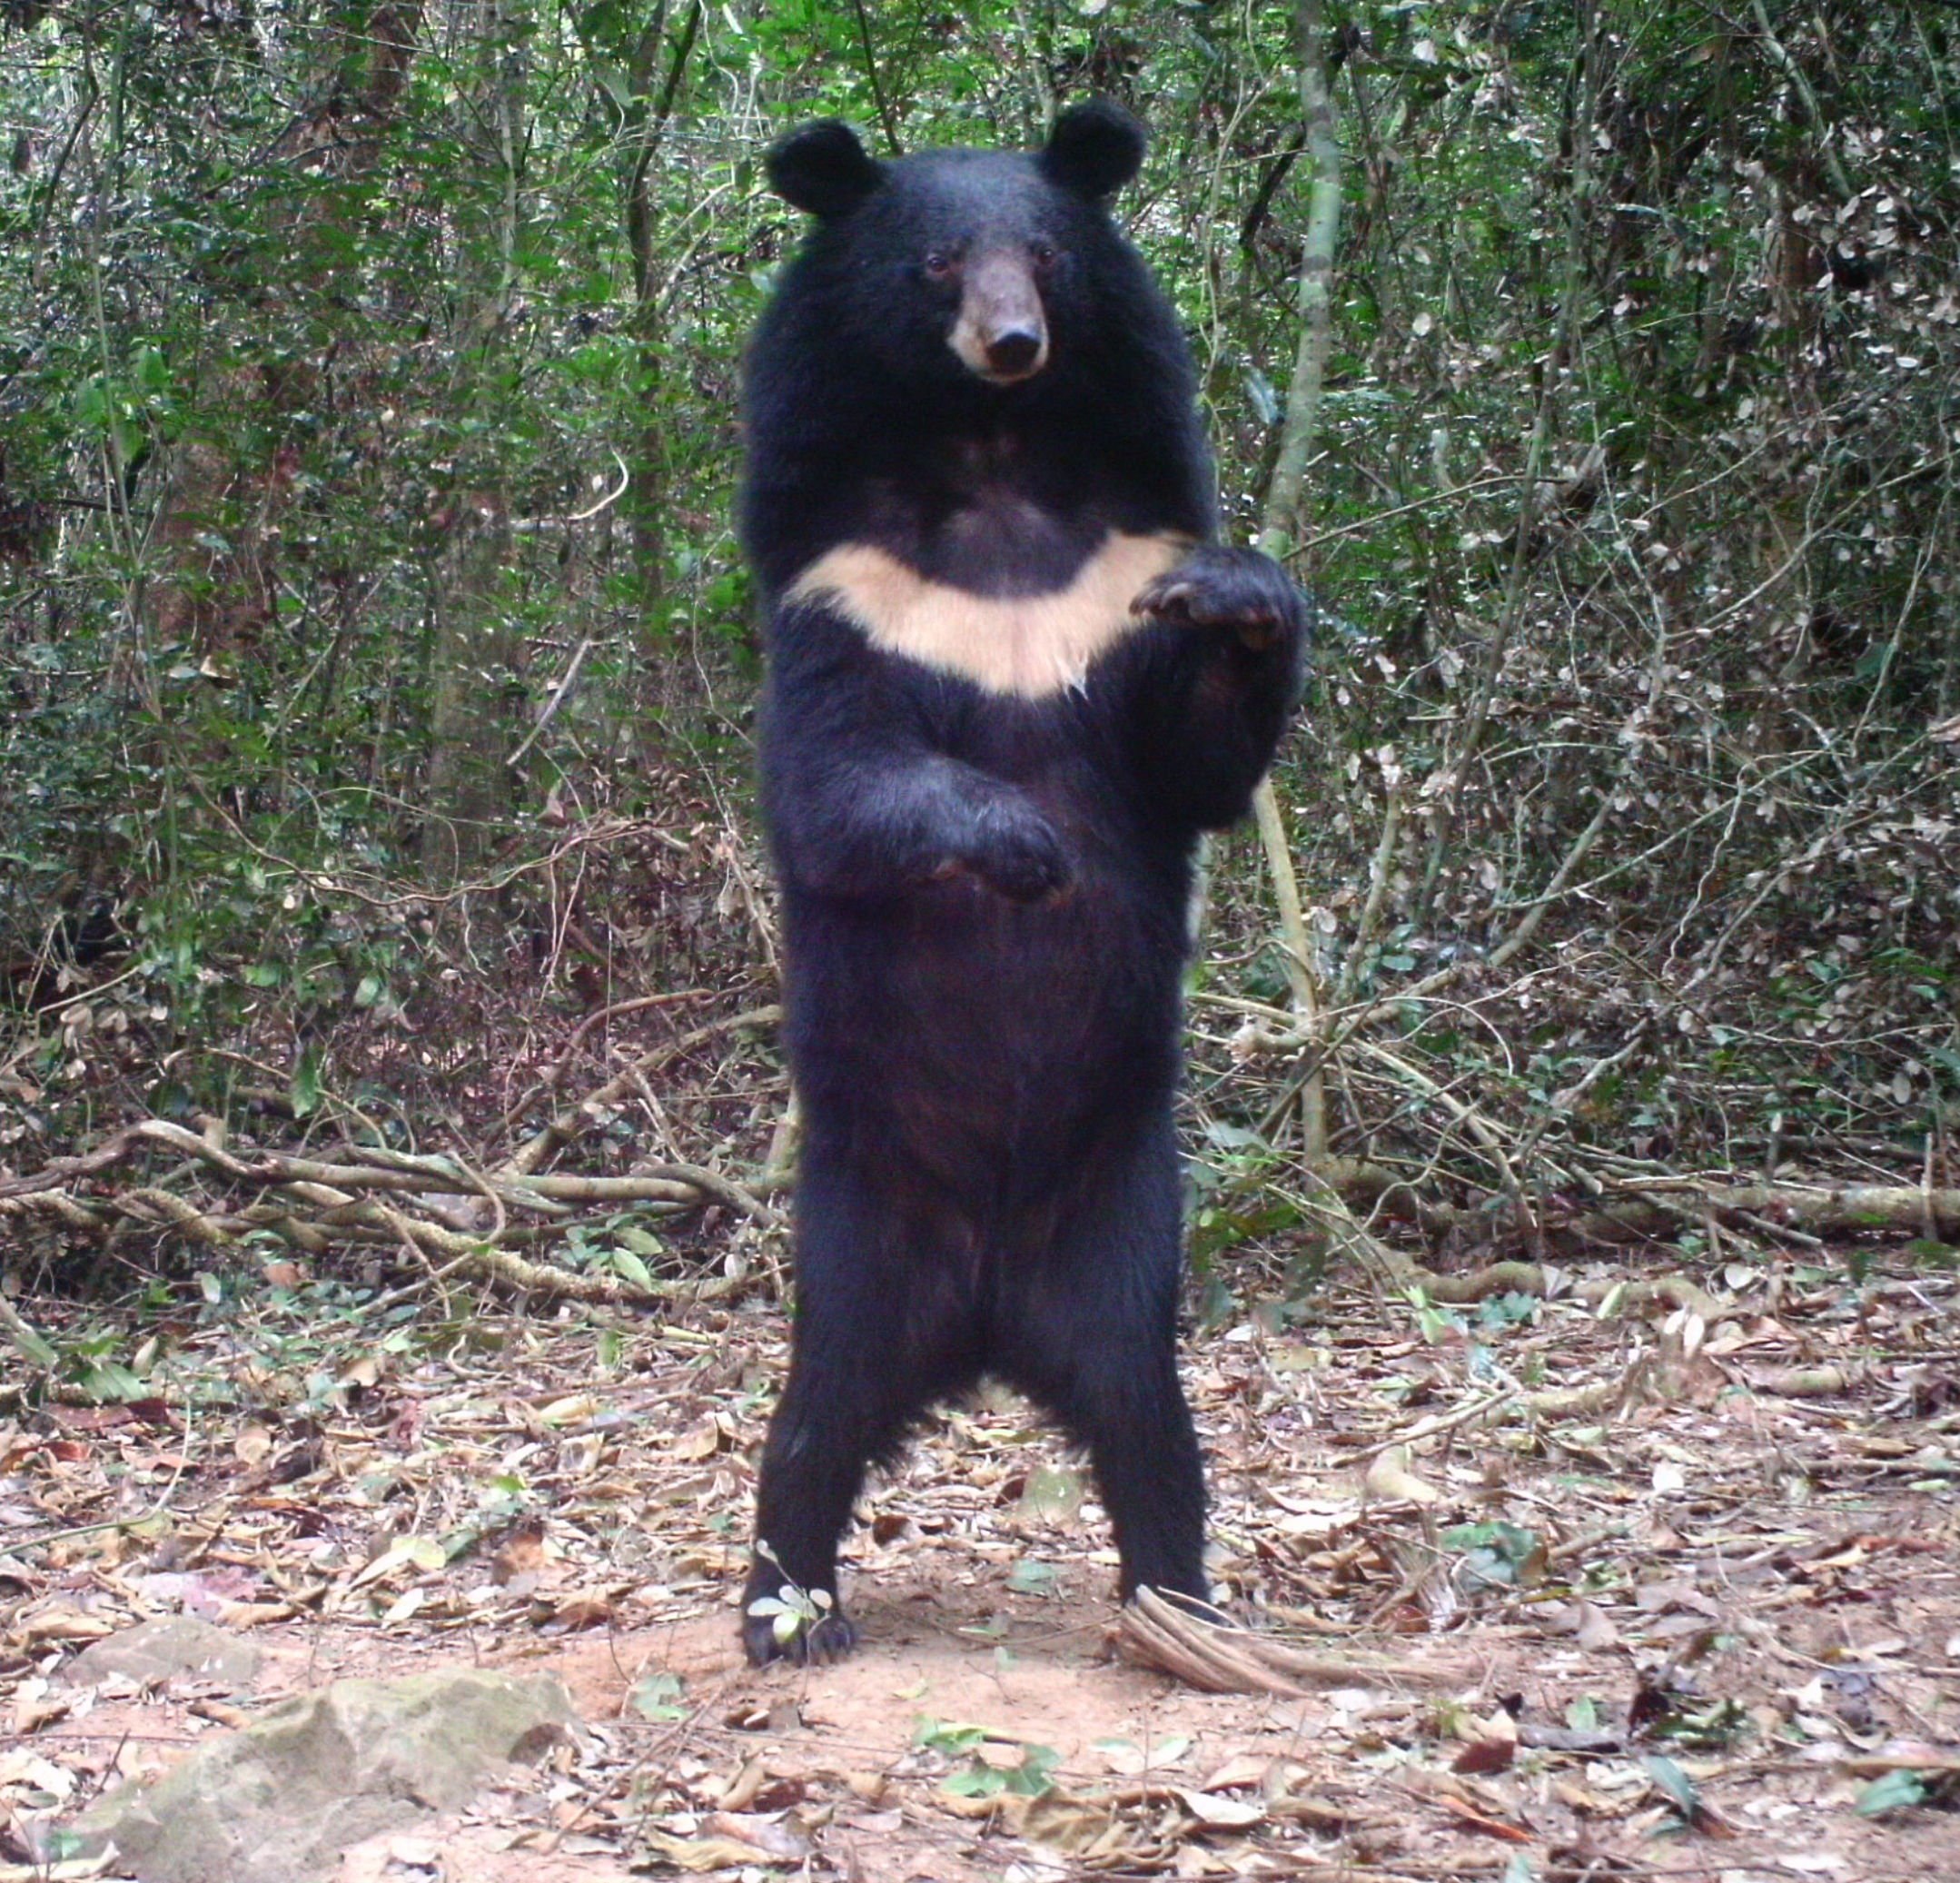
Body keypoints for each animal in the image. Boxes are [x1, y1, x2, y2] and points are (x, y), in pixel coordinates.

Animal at [739, 100, 1310, 1665]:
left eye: (1047, 255)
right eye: (938, 259)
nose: (1012, 341)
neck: (988, 460)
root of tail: (987, 1319)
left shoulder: (1111, 578)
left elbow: (1193, 761)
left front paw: (1240, 600)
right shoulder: (845, 593)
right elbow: (837, 781)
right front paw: (1023, 846)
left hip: (1121, 1223)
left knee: (1148, 1427)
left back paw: (1184, 1610)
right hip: (858, 1229)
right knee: (809, 1427)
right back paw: (786, 1610)